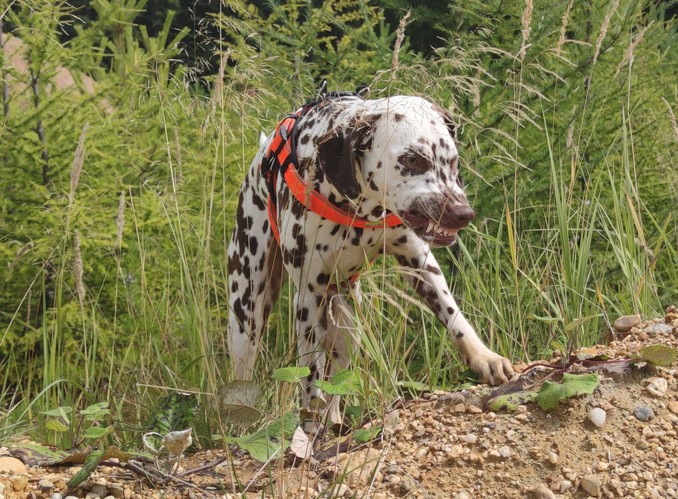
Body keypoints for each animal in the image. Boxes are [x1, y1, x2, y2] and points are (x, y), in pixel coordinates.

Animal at [226, 90, 512, 422]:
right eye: (411, 160)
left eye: (452, 160)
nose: (462, 213)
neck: (362, 209)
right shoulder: (308, 298)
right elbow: (309, 375)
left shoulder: (420, 263)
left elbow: (453, 315)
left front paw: (484, 357)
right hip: (247, 314)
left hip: (347, 326)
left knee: (335, 385)